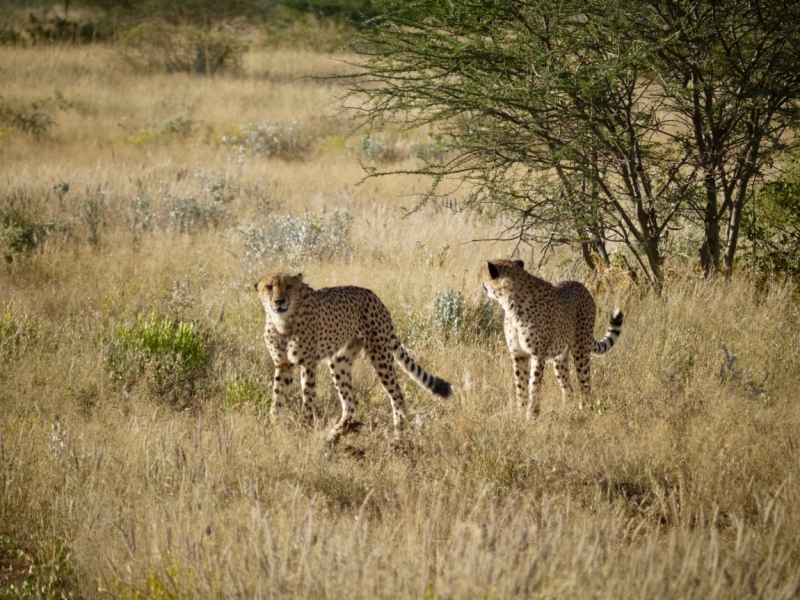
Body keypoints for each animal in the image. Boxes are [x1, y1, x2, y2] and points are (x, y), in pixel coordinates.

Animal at [256, 274, 456, 442]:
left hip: (380, 352)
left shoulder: (308, 364)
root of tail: (371, 294)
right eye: (269, 287)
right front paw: (276, 428)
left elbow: (308, 398)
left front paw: (305, 426)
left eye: (289, 286)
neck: (282, 322)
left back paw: (399, 434)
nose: (279, 301)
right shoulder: (283, 365)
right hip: (338, 361)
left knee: (397, 394)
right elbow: (277, 398)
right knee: (350, 403)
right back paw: (335, 434)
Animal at [482, 258, 624, 418]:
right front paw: (520, 413)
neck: (511, 302)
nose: (482, 286)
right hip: (559, 357)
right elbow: (521, 385)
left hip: (580, 349)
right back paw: (568, 410)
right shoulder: (518, 355)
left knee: (585, 383)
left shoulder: (537, 355)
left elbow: (534, 386)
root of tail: (581, 285)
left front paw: (532, 415)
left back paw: (587, 409)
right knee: (568, 387)